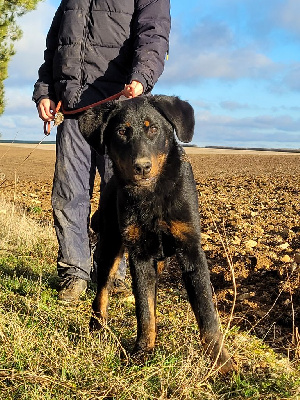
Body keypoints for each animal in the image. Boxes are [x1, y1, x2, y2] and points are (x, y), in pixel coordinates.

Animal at [77, 95, 234, 374]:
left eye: (153, 129)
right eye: (121, 132)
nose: (142, 167)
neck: (153, 197)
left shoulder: (191, 250)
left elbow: (206, 312)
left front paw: (221, 363)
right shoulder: (139, 254)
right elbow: (144, 310)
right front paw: (142, 352)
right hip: (111, 244)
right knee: (102, 290)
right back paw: (96, 326)